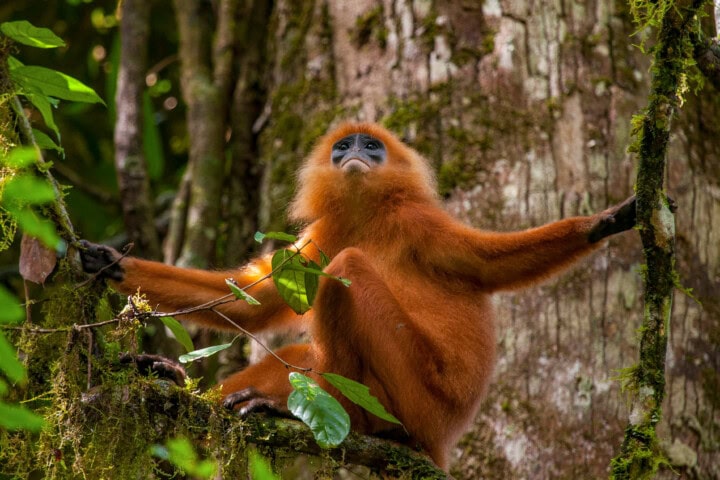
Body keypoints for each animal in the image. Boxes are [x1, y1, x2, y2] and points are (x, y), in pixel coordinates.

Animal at [80, 122, 637, 470]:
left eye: (371, 146)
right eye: (343, 146)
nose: (352, 154)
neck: (369, 216)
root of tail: (443, 437)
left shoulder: (418, 221)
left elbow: (491, 263)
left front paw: (603, 222)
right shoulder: (327, 231)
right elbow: (254, 302)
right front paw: (108, 262)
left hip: (417, 396)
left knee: (347, 272)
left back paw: (343, 419)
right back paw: (170, 378)